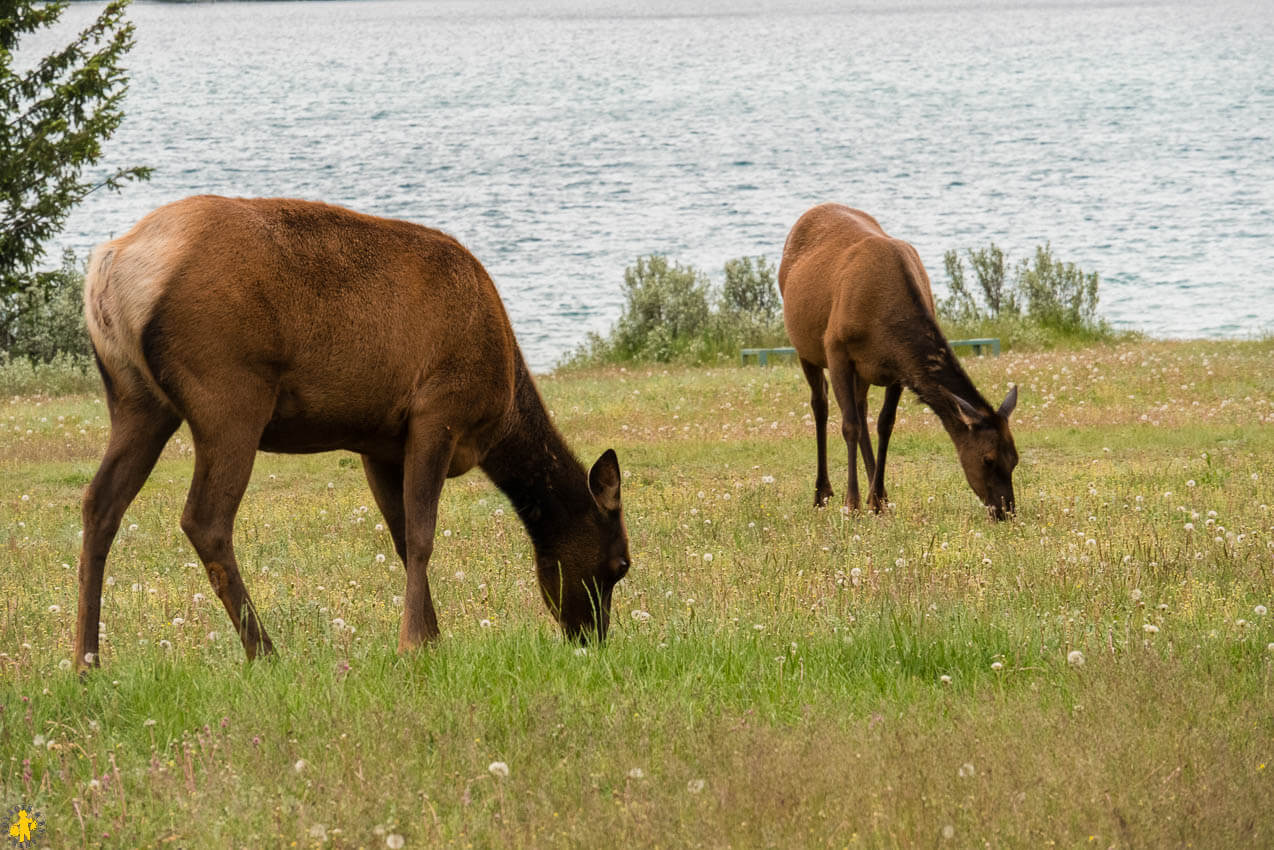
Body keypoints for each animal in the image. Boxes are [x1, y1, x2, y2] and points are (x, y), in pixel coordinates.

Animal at [72, 194, 629, 672]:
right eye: (620, 563)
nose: (593, 639)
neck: (502, 410)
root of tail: (109, 266)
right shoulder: (438, 410)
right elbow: (422, 536)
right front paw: (412, 644)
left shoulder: (380, 442)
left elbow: (401, 538)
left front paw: (432, 639)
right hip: (229, 393)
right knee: (204, 519)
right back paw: (265, 652)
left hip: (135, 399)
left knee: (100, 503)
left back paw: (85, 662)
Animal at [769, 202, 1019, 519]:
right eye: (988, 459)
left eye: (1015, 458)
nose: (1006, 510)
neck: (883, 321)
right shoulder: (836, 348)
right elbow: (848, 425)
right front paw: (852, 503)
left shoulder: (897, 368)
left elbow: (885, 424)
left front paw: (877, 500)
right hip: (805, 346)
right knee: (821, 404)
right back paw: (822, 493)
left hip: (862, 371)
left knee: (861, 408)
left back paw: (878, 492)